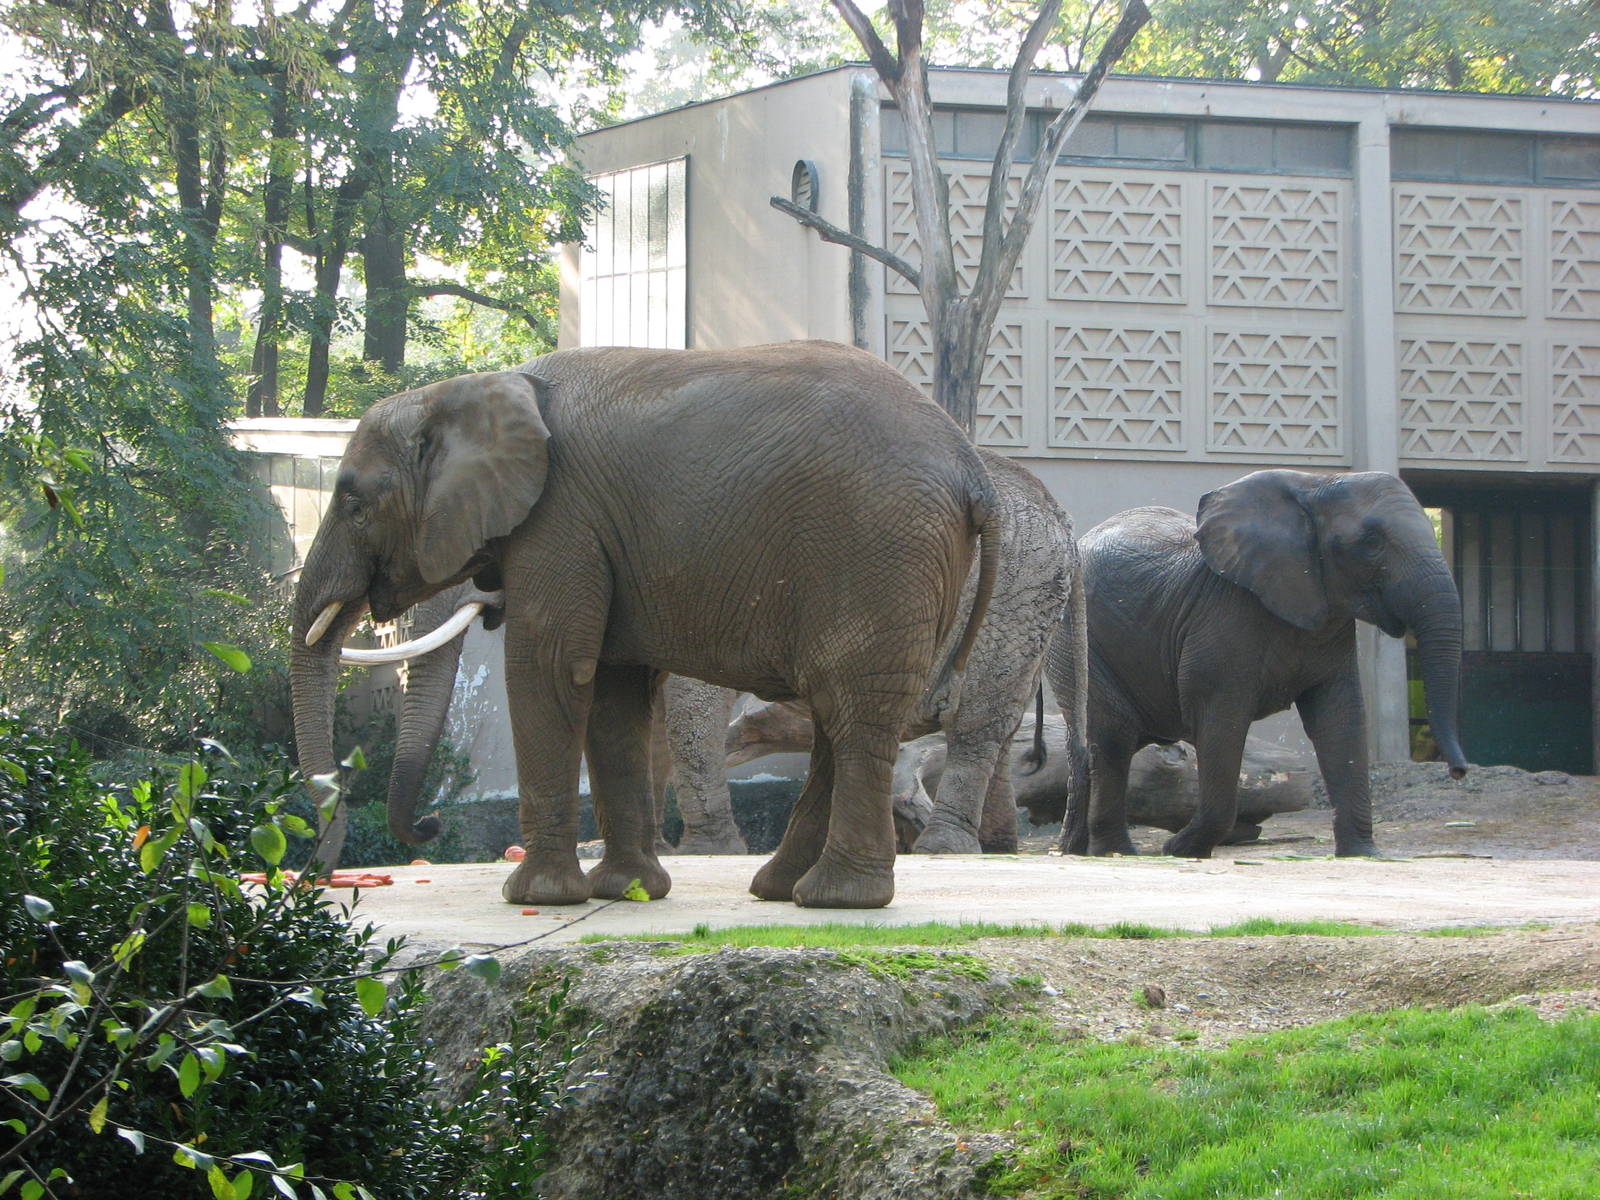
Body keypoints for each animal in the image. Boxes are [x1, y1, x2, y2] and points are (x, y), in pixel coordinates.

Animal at [289, 341, 998, 909]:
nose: (430, 829)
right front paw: (626, 891)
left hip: (881, 551)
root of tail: (973, 465)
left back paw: (837, 900)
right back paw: (780, 890)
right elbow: (613, 690)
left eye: (353, 503)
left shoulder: (561, 520)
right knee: (840, 713)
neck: (477, 388)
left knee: (853, 709)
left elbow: (549, 668)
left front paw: (536, 897)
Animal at [662, 449, 1087, 855]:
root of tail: (1059, 515)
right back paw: (994, 849)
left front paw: (705, 852)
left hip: (1010, 594)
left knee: (974, 720)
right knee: (1002, 726)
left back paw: (944, 847)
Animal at [1037, 469, 1467, 859]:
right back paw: (1116, 852)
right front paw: (1182, 849)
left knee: (1095, 746)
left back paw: (1076, 851)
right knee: (1113, 739)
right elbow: (1220, 721)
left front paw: (1362, 854)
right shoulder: (1223, 616)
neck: (1315, 485)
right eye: (1371, 542)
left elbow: (1340, 719)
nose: (1458, 772)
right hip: (1078, 643)